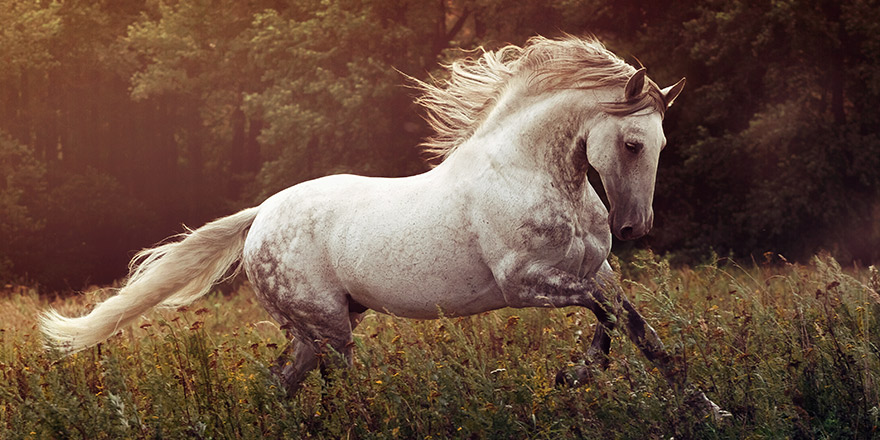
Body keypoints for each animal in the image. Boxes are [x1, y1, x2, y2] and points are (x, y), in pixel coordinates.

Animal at [43, 36, 728, 418]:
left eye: (663, 143)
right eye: (634, 143)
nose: (636, 228)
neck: (533, 174)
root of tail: (261, 216)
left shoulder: (597, 271)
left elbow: (642, 334)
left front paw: (710, 410)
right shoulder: (527, 284)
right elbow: (611, 322)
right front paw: (574, 375)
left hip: (321, 328)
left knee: (281, 386)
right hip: (328, 329)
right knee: (335, 388)